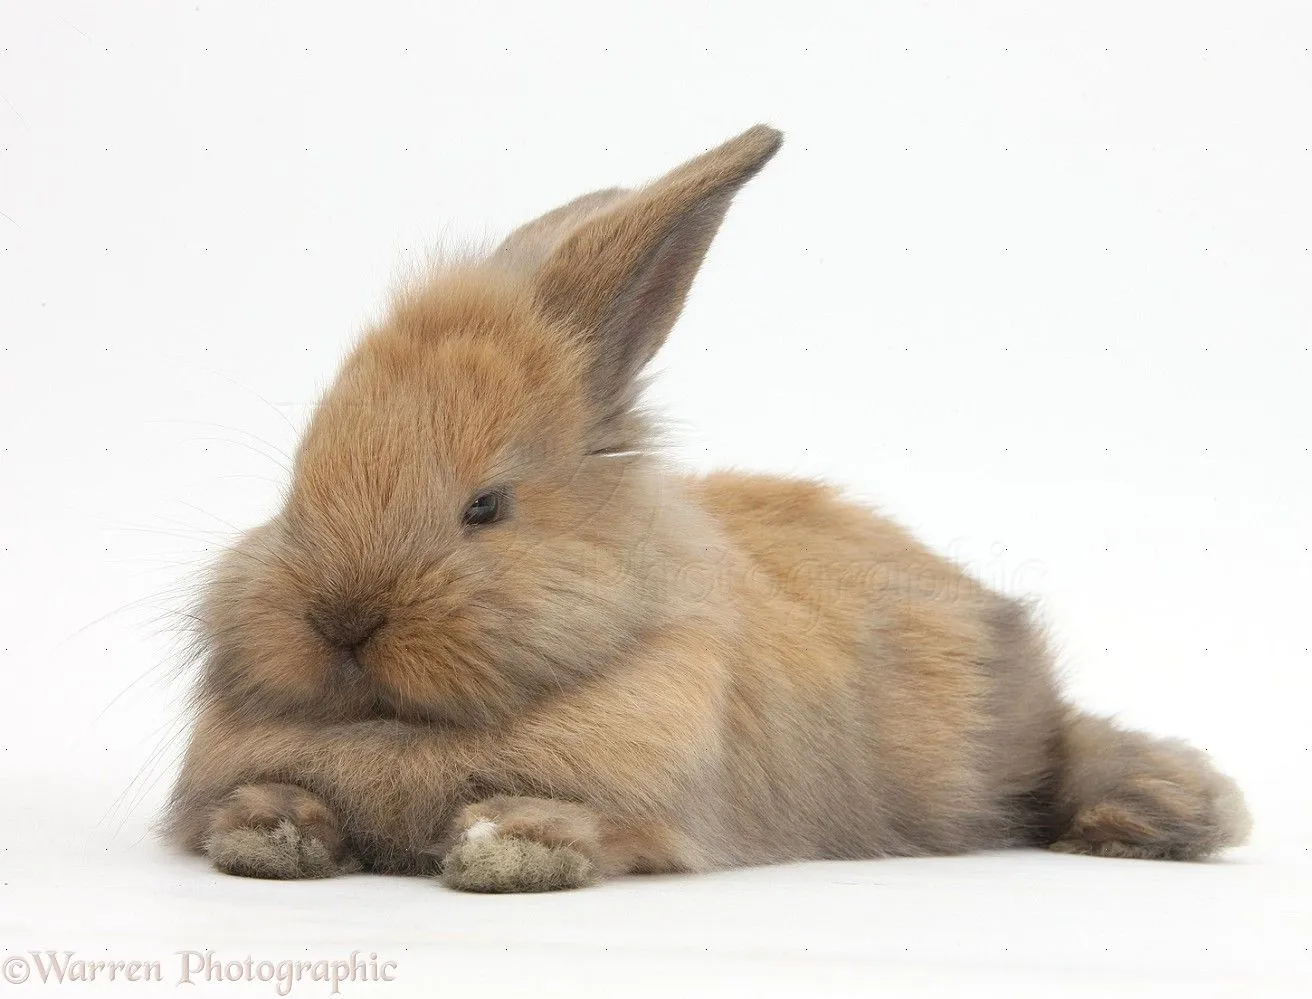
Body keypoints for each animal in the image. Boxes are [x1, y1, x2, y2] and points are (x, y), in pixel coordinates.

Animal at [164, 125, 1251, 892]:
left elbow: (587, 821)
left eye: (486, 506)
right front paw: (268, 832)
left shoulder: (660, 804)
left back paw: (1156, 815)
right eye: (297, 483)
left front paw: (512, 848)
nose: (340, 620)